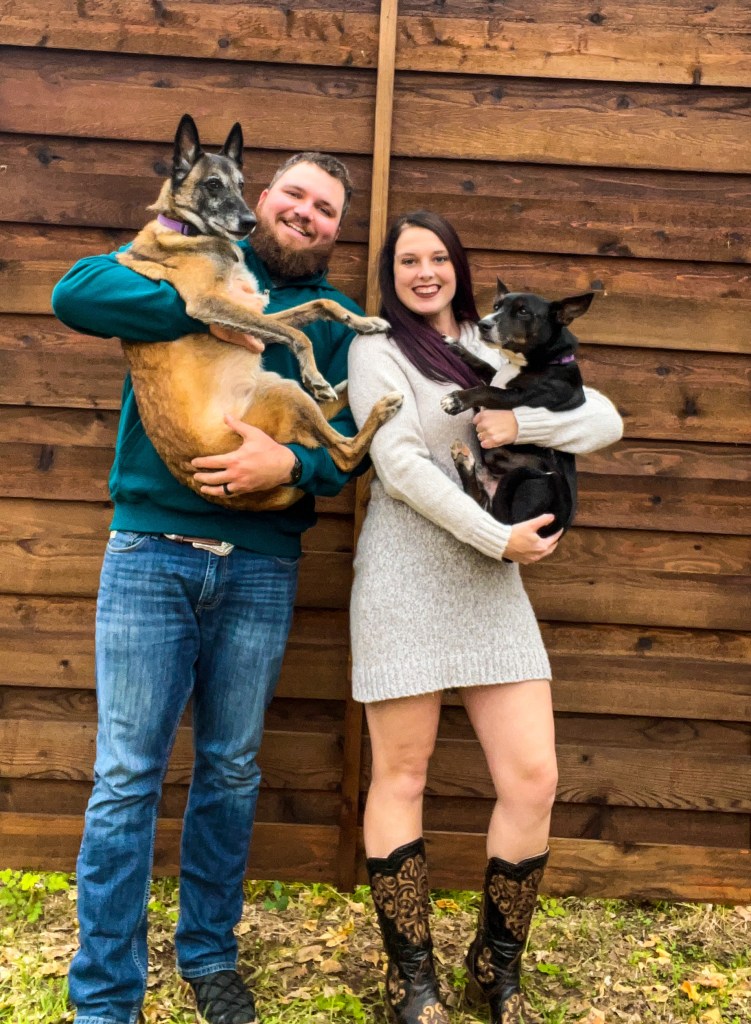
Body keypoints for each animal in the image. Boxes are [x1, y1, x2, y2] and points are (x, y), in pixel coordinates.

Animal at [115, 114, 402, 511]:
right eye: (212, 184)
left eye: (241, 184)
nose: (250, 222)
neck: (188, 231)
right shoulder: (208, 304)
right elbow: (299, 334)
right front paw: (314, 374)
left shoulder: (252, 312)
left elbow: (319, 306)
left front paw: (363, 322)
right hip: (286, 393)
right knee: (344, 452)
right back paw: (373, 406)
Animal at [440, 279, 594, 537]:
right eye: (496, 306)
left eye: (523, 311)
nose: (483, 324)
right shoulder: (496, 375)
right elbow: (483, 366)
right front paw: (457, 347)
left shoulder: (520, 397)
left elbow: (487, 391)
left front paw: (456, 400)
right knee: (480, 501)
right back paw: (464, 460)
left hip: (542, 482)